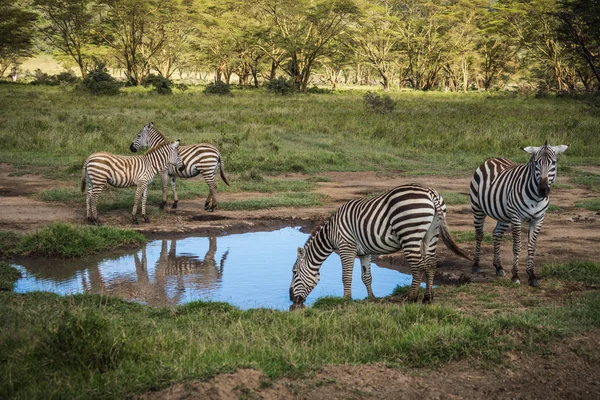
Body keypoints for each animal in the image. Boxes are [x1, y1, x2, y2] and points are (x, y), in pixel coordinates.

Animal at [288, 184, 472, 306]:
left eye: (294, 272)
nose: (290, 298)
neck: (332, 233)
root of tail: (430, 191)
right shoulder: (364, 252)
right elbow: (366, 276)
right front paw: (371, 298)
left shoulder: (347, 248)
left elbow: (346, 276)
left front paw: (346, 300)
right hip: (431, 233)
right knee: (431, 264)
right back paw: (428, 298)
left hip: (409, 233)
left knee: (418, 266)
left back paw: (411, 298)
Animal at [468, 142, 568, 286]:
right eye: (536, 163)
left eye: (554, 162)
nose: (543, 190)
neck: (536, 198)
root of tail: (492, 159)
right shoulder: (516, 218)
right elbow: (516, 246)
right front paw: (515, 276)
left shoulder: (538, 219)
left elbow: (531, 247)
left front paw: (532, 275)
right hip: (478, 208)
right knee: (479, 234)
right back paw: (476, 264)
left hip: (503, 215)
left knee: (496, 234)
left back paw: (498, 266)